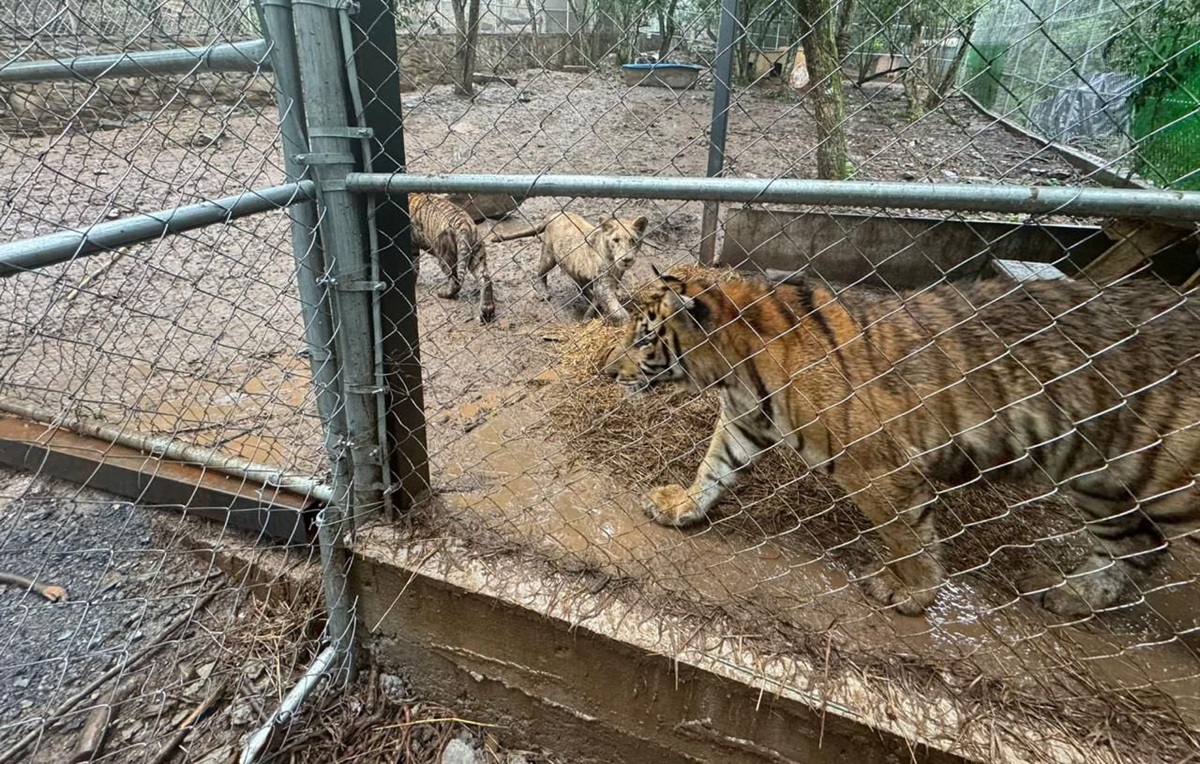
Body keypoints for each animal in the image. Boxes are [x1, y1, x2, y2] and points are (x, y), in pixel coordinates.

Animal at [408, 193, 495, 323]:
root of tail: (464, 224)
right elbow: (414, 267)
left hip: (445, 256)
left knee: (455, 282)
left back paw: (442, 293)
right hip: (477, 254)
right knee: (485, 279)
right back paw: (486, 310)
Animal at [606, 267, 1200, 618]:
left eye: (643, 337)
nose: (607, 371)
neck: (733, 368)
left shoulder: (876, 467)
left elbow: (905, 533)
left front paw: (912, 593)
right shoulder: (744, 422)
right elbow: (714, 467)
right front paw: (683, 506)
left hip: (1160, 480)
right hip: (1102, 479)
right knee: (1139, 546)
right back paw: (1072, 595)